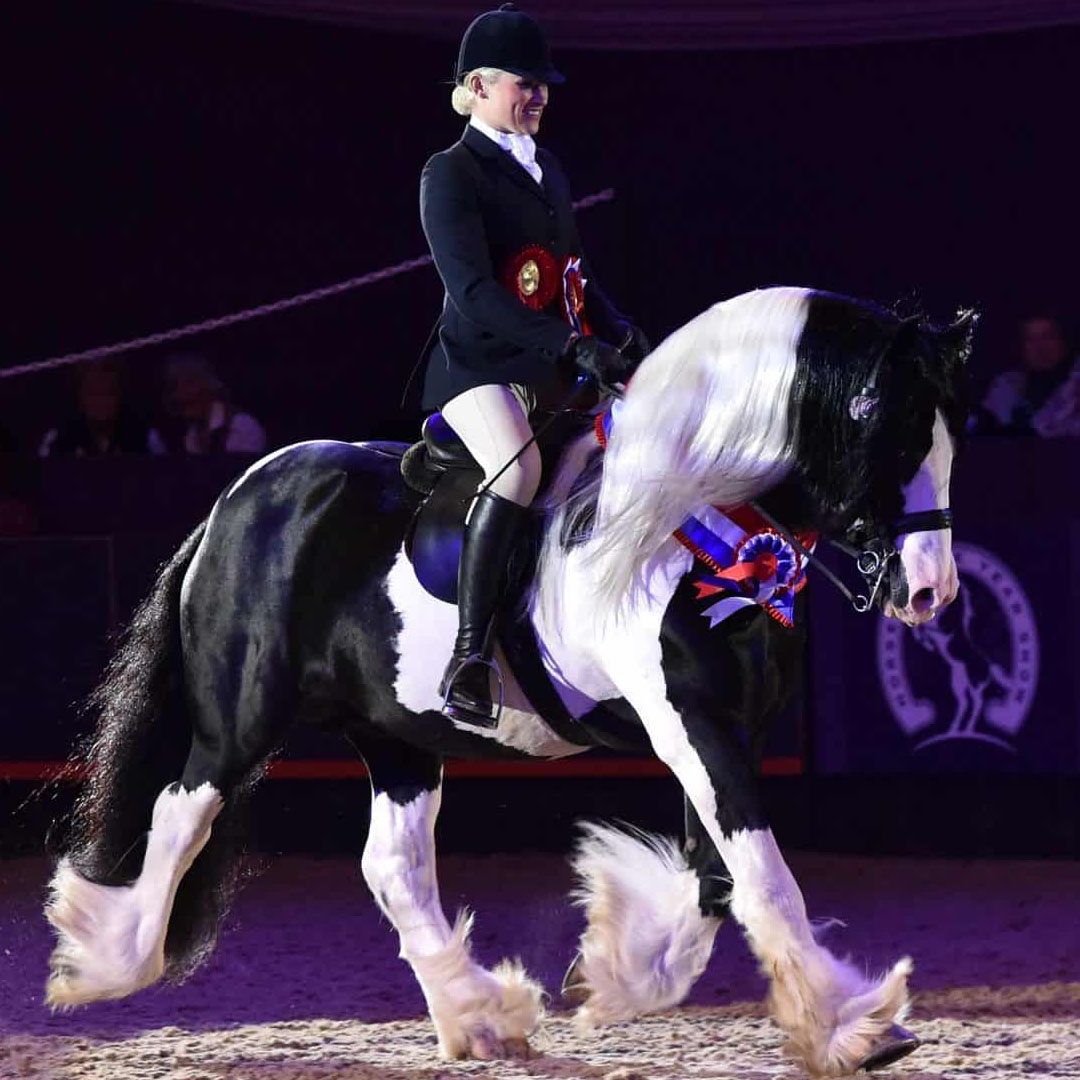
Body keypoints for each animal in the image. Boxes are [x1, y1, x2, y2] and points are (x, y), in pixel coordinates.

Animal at [42, 285, 976, 1071]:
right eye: (893, 436)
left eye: (948, 440)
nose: (929, 591)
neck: (690, 511)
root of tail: (235, 501)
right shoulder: (689, 721)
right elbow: (763, 876)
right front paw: (855, 1026)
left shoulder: (728, 729)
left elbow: (717, 877)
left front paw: (615, 972)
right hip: (241, 715)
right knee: (182, 812)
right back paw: (104, 961)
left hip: (398, 731)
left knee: (393, 866)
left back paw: (480, 1016)